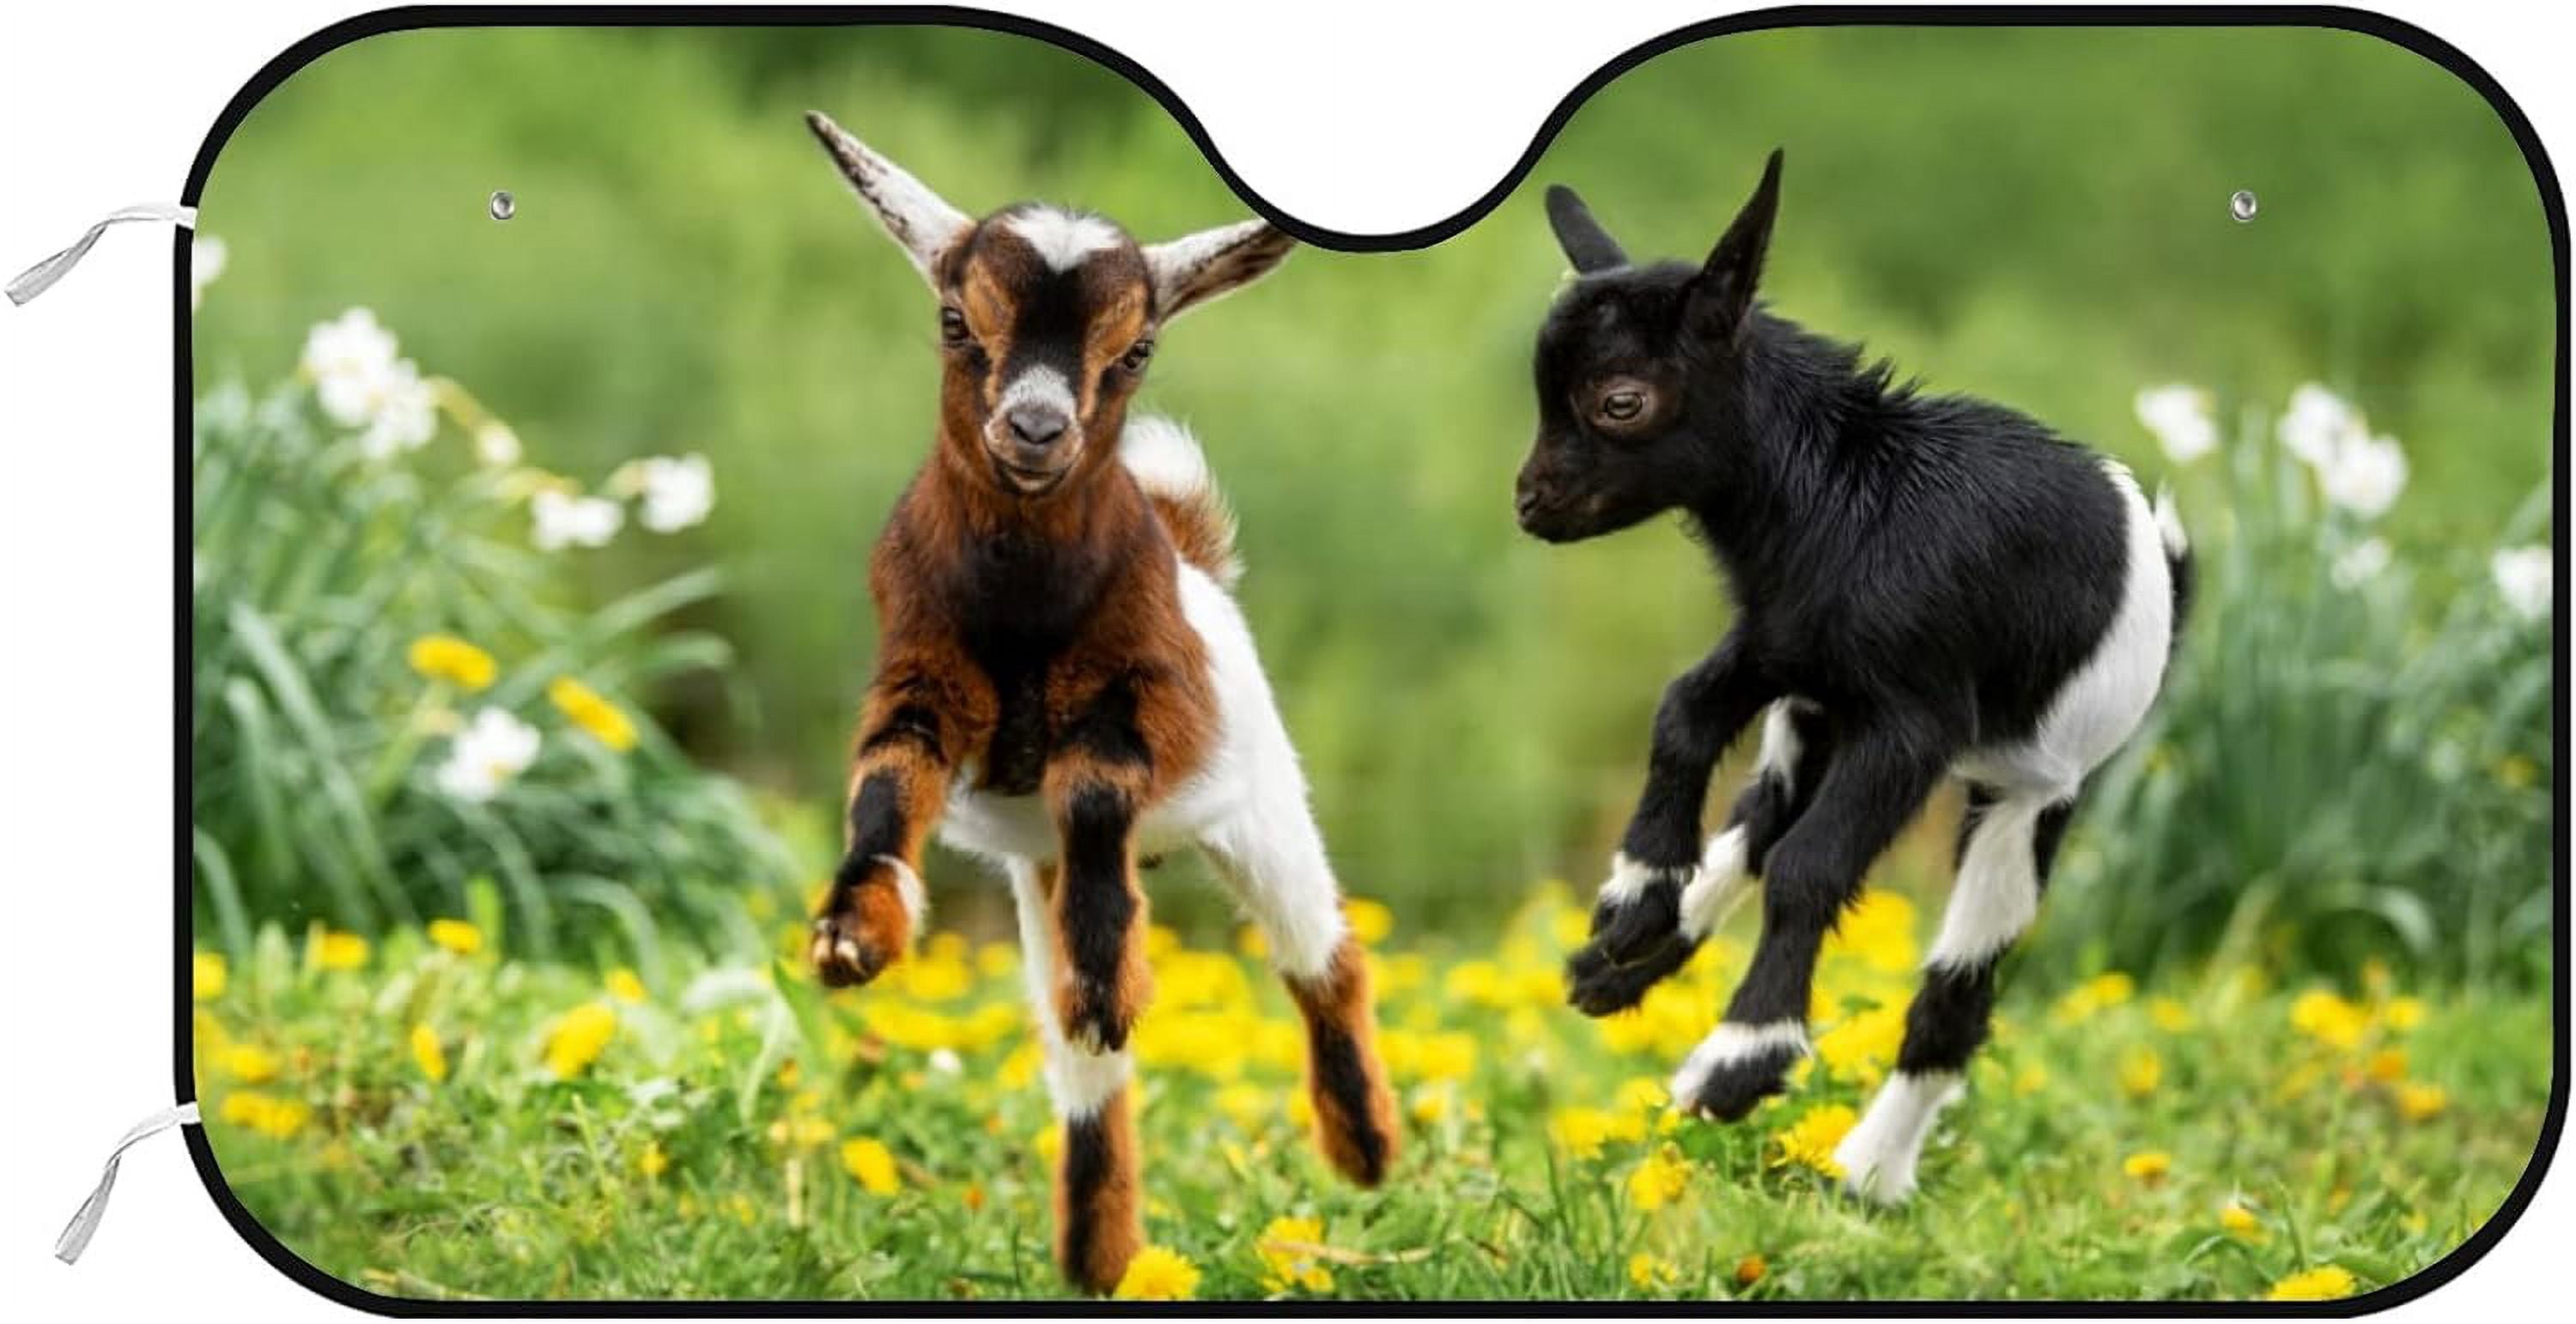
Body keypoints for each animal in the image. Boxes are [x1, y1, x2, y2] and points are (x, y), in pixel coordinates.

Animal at [799, 112, 1397, 1293]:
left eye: (1137, 350)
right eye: (955, 320)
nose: (1035, 430)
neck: (1028, 606)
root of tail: (1195, 551)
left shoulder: (1149, 702)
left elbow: (1093, 780)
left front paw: (1115, 979)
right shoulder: (923, 681)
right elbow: (884, 786)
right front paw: (854, 936)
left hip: (1264, 811)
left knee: (1325, 958)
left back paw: (1363, 1150)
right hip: (1032, 879)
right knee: (1084, 1077)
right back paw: (1101, 1257)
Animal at [1519, 151, 2191, 1203]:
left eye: (1620, 400)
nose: (1531, 503)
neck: (1849, 494)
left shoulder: (1913, 721)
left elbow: (1813, 869)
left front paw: (1738, 1066)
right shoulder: (1781, 646)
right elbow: (1681, 714)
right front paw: (1633, 896)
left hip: (2025, 794)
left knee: (1952, 992)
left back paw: (1869, 1173)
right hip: (1814, 722)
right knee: (1756, 828)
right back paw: (1619, 966)